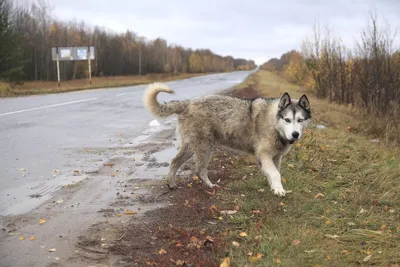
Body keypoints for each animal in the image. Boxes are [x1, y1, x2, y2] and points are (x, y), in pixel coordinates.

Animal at [142, 82, 310, 198]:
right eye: (287, 120)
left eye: (300, 120)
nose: (295, 134)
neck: (273, 122)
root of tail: (188, 103)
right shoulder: (264, 155)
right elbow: (275, 174)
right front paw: (279, 190)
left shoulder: (276, 157)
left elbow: (275, 172)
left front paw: (274, 187)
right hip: (205, 147)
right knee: (199, 169)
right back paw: (209, 186)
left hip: (192, 147)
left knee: (175, 162)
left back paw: (171, 184)